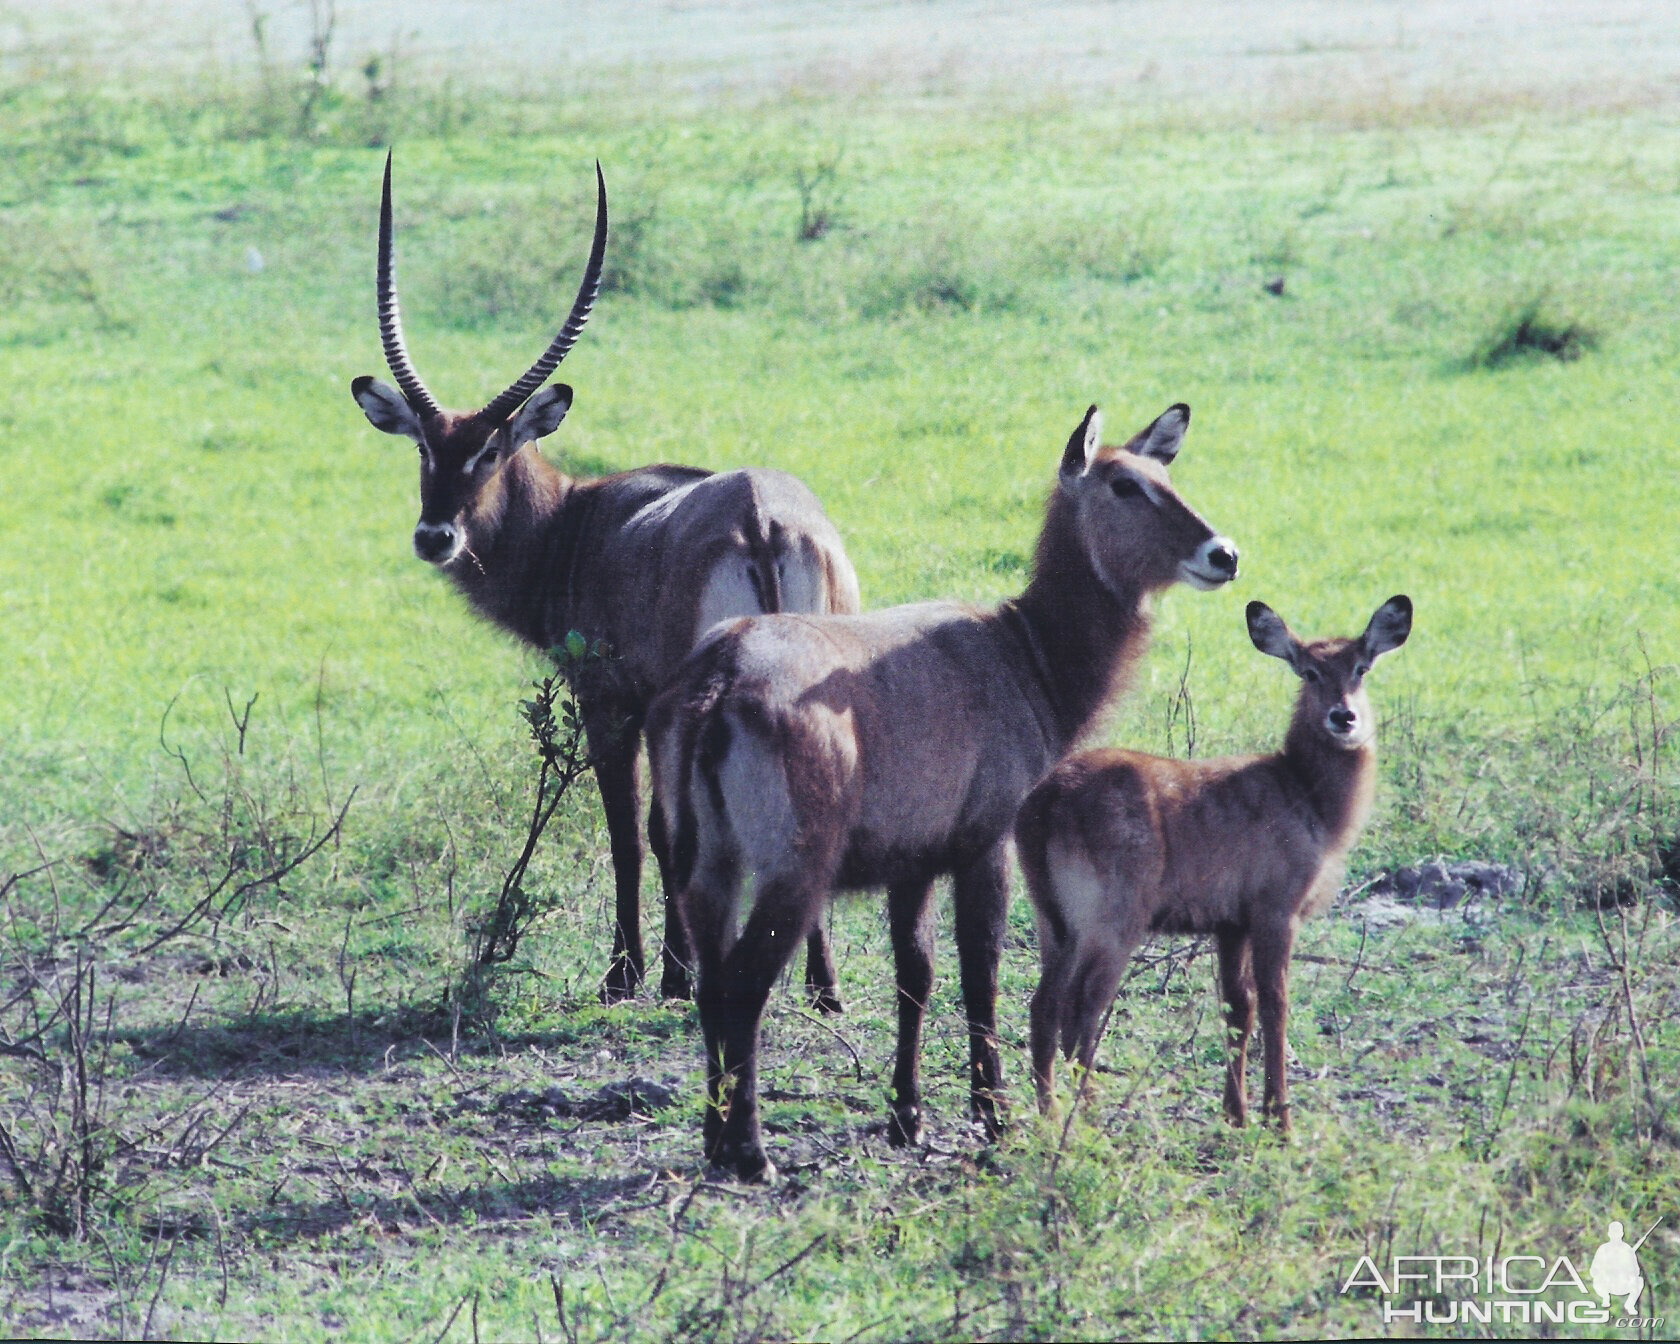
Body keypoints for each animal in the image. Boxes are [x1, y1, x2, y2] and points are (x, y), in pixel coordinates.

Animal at [349, 152, 860, 1001]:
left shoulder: (613, 701)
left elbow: (636, 831)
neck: (577, 523)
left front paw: (637, 976)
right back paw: (823, 988)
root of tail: (760, 516)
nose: (435, 536)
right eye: (424, 444)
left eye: (491, 449)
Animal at [648, 399, 1243, 1176]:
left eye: (1164, 475)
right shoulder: (985, 841)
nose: (1223, 554)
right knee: (745, 983)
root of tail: (717, 678)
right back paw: (749, 1150)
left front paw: (908, 1116)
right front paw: (994, 1114)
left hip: (708, 865)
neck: (1029, 654)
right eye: (1122, 485)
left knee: (712, 981)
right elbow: (980, 971)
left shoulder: (914, 858)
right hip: (793, 867)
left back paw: (716, 1137)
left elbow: (916, 975)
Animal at [1014, 594, 1411, 1128]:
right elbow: (1275, 1005)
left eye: (1361, 668)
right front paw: (1280, 1121)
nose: (1343, 718)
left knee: (1044, 1006)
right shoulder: (1275, 910)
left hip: (1053, 921)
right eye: (1308, 671)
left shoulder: (1230, 923)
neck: (1310, 798)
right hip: (1113, 919)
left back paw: (1048, 1114)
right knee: (1082, 1008)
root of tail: (1044, 803)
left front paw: (1236, 1114)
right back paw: (1088, 1113)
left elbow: (1237, 1009)